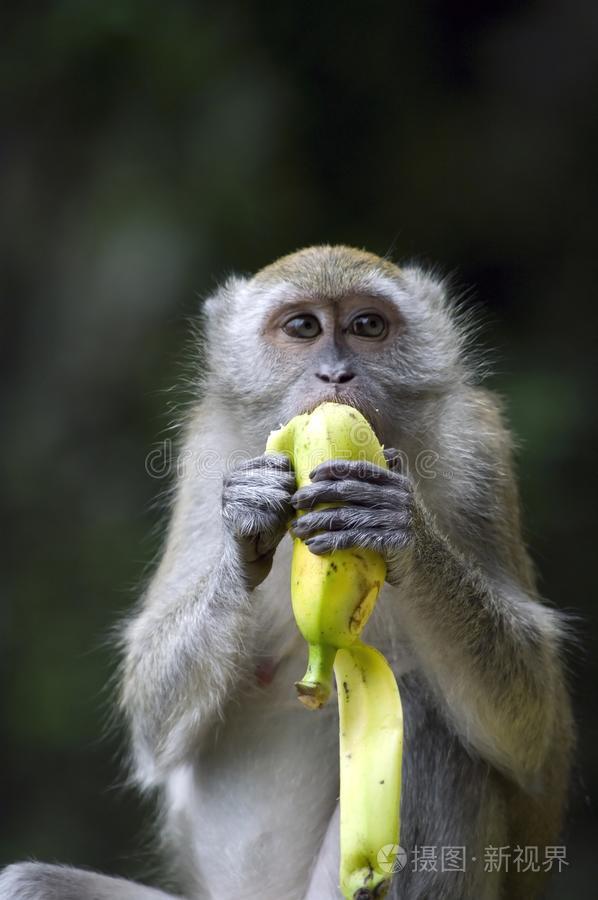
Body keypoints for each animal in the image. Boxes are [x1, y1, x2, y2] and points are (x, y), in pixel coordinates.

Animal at [2, 243, 580, 896]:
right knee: (26, 882)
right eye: (303, 327)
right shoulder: (205, 452)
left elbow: (534, 734)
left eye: (368, 326)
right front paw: (247, 524)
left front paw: (397, 525)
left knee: (431, 722)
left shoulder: (479, 450)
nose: (336, 375)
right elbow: (151, 715)